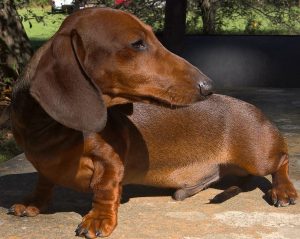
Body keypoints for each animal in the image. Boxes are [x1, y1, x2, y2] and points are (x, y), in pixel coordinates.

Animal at [8, 7, 212, 237]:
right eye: (137, 43)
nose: (208, 86)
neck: (47, 129)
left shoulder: (110, 159)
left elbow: (105, 188)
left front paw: (98, 218)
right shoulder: (44, 164)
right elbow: (43, 180)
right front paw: (33, 202)